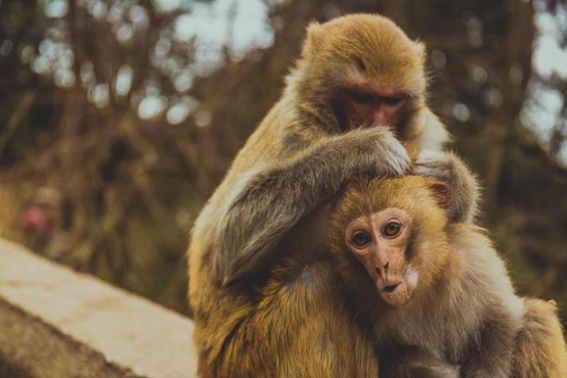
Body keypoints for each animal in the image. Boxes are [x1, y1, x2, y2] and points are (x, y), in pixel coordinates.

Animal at [189, 13, 478, 376]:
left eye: (391, 100)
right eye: (362, 97)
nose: (378, 122)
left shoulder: (423, 136)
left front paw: (454, 179)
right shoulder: (294, 132)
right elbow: (225, 246)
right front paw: (361, 147)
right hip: (244, 356)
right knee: (319, 284)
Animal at [332, 177, 567, 378]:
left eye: (391, 229)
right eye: (361, 239)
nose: (381, 265)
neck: (425, 283)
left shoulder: (473, 259)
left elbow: (504, 317)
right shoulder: (361, 300)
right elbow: (398, 359)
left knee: (536, 319)